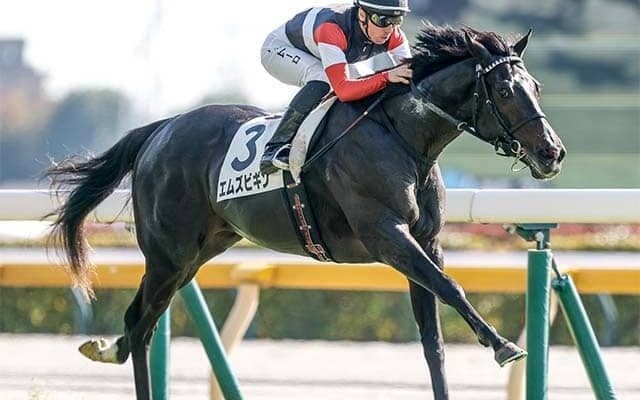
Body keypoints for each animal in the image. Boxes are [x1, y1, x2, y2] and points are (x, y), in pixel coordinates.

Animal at [46, 24, 566, 400]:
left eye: (537, 87)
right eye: (504, 91)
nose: (552, 153)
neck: (403, 137)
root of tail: (161, 129)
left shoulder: (426, 242)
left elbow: (433, 338)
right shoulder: (386, 234)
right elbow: (452, 288)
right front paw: (504, 345)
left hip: (198, 252)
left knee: (140, 324)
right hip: (168, 255)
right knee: (139, 326)